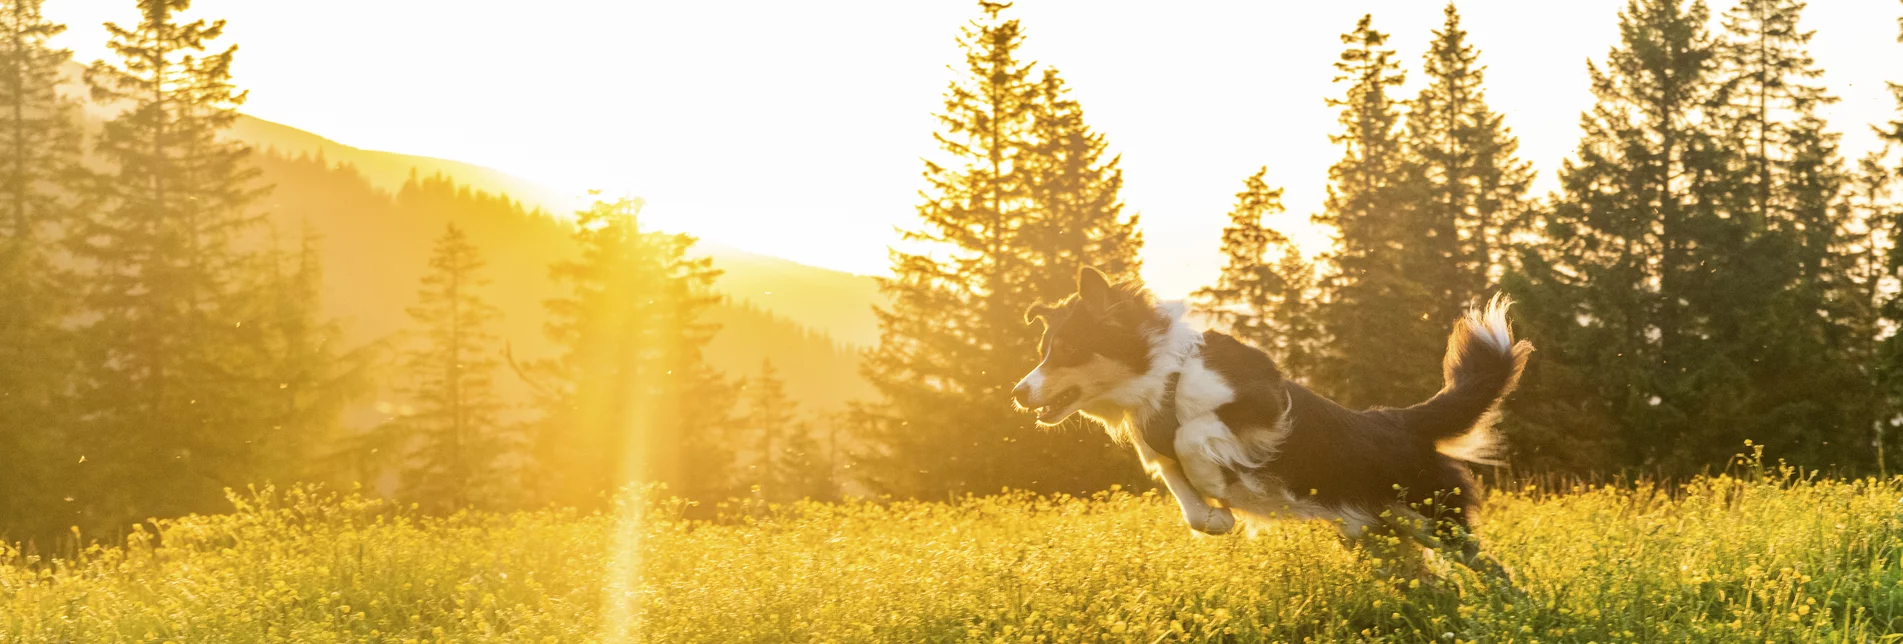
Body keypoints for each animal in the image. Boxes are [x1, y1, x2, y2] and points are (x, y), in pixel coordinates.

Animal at [1012, 266, 1530, 560]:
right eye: (1042, 351)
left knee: (1491, 570)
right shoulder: (1156, 454)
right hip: (1380, 540)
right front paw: (1217, 517)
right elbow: (1183, 492)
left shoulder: (1261, 404)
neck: (1159, 375)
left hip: (1437, 521)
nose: (1018, 392)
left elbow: (1190, 435)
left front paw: (1218, 483)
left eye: (1069, 350)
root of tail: (1403, 421)